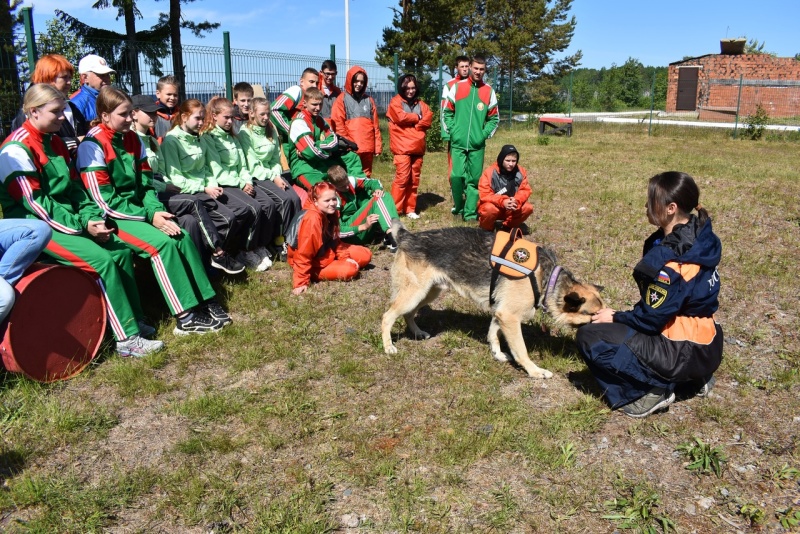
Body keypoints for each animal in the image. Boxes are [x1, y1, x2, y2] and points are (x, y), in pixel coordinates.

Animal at [382, 223, 608, 382]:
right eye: (593, 315)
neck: (547, 278)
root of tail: (407, 236)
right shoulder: (510, 316)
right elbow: (521, 350)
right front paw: (534, 371)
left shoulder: (501, 313)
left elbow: (493, 333)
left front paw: (497, 354)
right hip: (415, 293)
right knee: (387, 316)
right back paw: (388, 347)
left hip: (429, 292)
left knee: (408, 314)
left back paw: (417, 333)